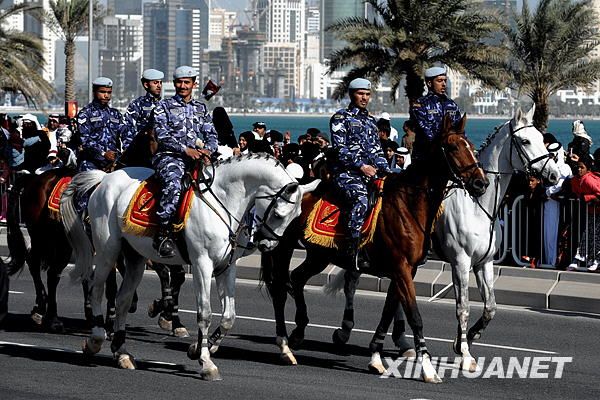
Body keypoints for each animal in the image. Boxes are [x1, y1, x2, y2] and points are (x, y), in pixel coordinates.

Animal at [62, 154, 318, 382]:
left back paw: (121, 353)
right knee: (96, 289)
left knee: (123, 300)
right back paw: (95, 340)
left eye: (295, 217)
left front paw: (199, 348)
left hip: (135, 258)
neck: (224, 201)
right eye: (278, 214)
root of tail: (106, 178)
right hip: (108, 251)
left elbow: (229, 316)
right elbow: (205, 314)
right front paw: (206, 363)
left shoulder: (227, 267)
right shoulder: (202, 265)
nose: (267, 245)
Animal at [262, 114, 488, 382]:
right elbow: (414, 316)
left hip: (318, 255)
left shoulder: (405, 270)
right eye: (453, 147)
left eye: (471, 147)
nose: (481, 182)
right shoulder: (401, 268)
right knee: (279, 291)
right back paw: (285, 346)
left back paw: (299, 330)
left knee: (296, 278)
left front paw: (376, 357)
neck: (409, 205)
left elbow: (388, 312)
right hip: (282, 248)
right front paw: (428, 367)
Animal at [434, 104, 560, 370]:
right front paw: (465, 354)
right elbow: (463, 308)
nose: (554, 175)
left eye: (541, 138)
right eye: (525, 140)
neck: (478, 204)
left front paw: (466, 340)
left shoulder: (484, 263)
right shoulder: (460, 263)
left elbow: (490, 307)